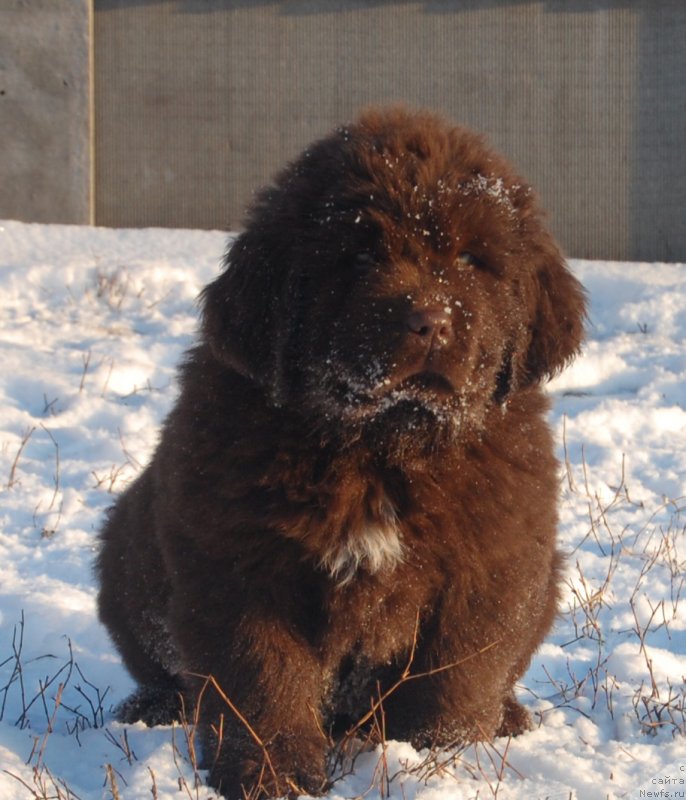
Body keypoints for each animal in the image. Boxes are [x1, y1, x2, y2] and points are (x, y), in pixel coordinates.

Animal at [97, 108, 584, 800]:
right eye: (359, 256)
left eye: (470, 257)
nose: (430, 321)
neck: (380, 449)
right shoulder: (241, 565)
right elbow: (262, 680)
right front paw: (270, 777)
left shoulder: (491, 563)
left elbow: (456, 674)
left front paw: (439, 762)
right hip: (124, 554)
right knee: (164, 671)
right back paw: (152, 707)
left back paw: (510, 717)